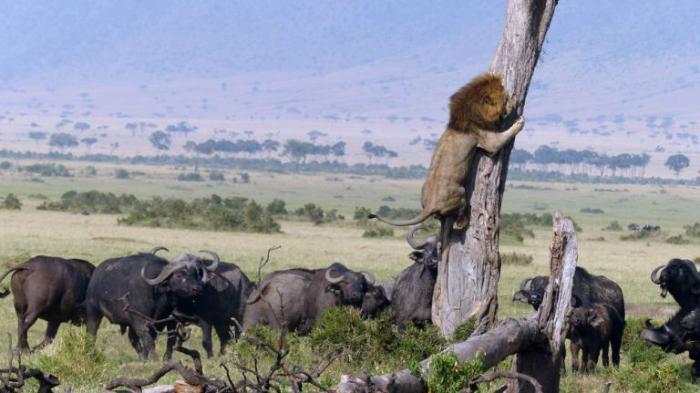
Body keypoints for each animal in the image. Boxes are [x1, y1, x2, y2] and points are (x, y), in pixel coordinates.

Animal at [85, 248, 216, 358]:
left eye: (196, 274)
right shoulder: (140, 321)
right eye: (179, 275)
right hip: (93, 313)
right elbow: (149, 341)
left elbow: (167, 340)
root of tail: (96, 274)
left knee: (133, 339)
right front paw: (153, 358)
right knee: (92, 333)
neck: (158, 295)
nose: (197, 288)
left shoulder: (167, 321)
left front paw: (157, 358)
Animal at [242, 262, 370, 332]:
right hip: (280, 325)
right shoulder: (321, 322)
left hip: (250, 321)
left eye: (361, 284)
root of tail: (268, 281)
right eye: (346, 282)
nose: (357, 295)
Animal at [370, 72, 524, 240]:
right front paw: (519, 121)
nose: (514, 101)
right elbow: (504, 137)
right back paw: (463, 222)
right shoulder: (487, 140)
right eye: (505, 97)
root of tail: (430, 205)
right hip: (460, 192)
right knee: (459, 214)